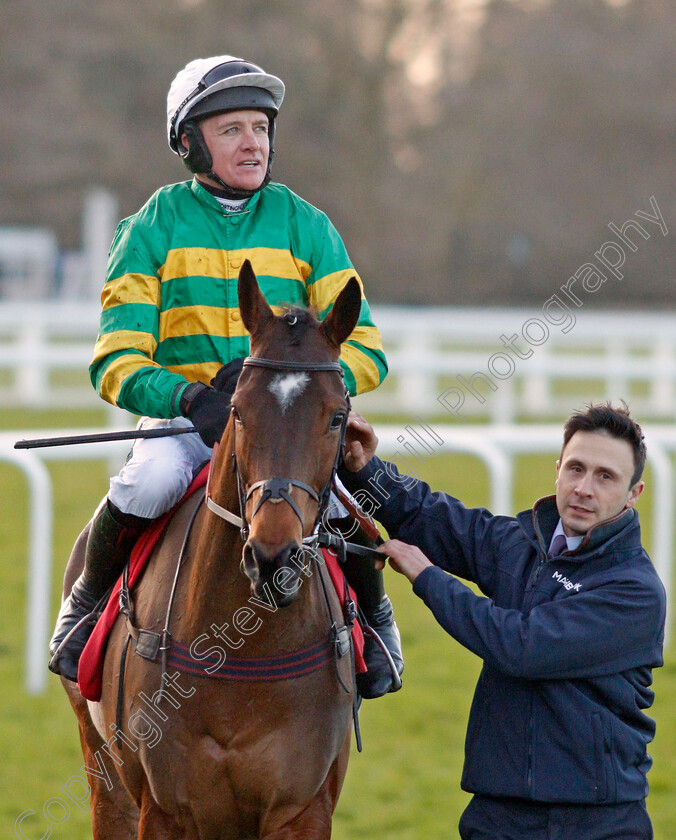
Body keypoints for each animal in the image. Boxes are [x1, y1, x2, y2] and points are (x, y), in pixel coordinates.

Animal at [60, 260, 362, 836]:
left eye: (336, 416)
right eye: (238, 410)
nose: (273, 558)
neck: (244, 654)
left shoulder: (303, 807)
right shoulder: (163, 808)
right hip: (103, 770)